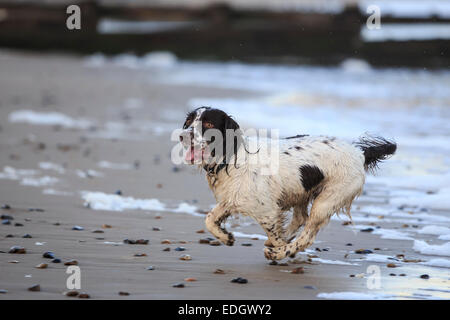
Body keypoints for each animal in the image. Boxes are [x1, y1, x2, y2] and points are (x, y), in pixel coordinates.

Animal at [178, 106, 396, 262]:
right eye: (189, 122)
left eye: (208, 123)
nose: (182, 135)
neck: (231, 157)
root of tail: (359, 153)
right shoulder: (231, 199)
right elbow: (209, 219)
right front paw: (226, 237)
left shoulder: (266, 211)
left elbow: (276, 234)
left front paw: (280, 249)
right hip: (301, 191)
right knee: (300, 218)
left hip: (326, 201)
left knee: (307, 235)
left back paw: (280, 252)